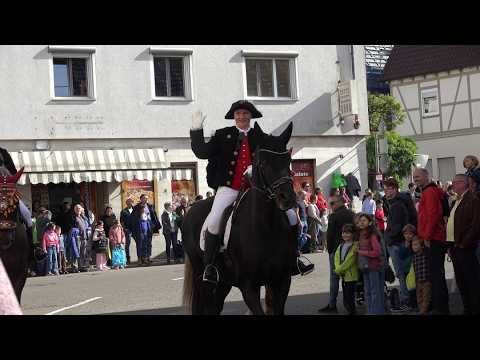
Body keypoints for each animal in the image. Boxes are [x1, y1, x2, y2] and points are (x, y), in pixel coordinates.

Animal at [182, 122, 298, 314]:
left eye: (288, 161)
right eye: (263, 162)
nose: (287, 198)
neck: (267, 227)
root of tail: (191, 210)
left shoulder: (282, 282)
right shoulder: (248, 287)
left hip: (223, 283)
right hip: (203, 281)